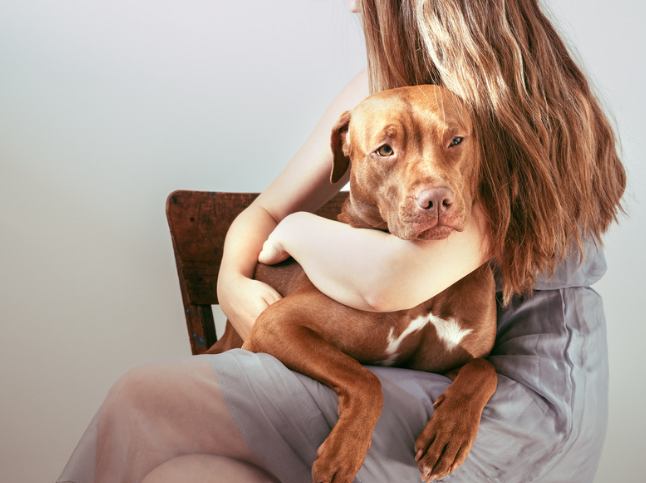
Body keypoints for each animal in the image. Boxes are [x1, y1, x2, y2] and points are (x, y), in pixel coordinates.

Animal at [210, 85, 498, 482]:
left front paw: (449, 433)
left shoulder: (440, 366)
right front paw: (342, 454)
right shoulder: (275, 325)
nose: (437, 200)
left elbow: (485, 370)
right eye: (385, 150)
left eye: (456, 140)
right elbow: (365, 379)